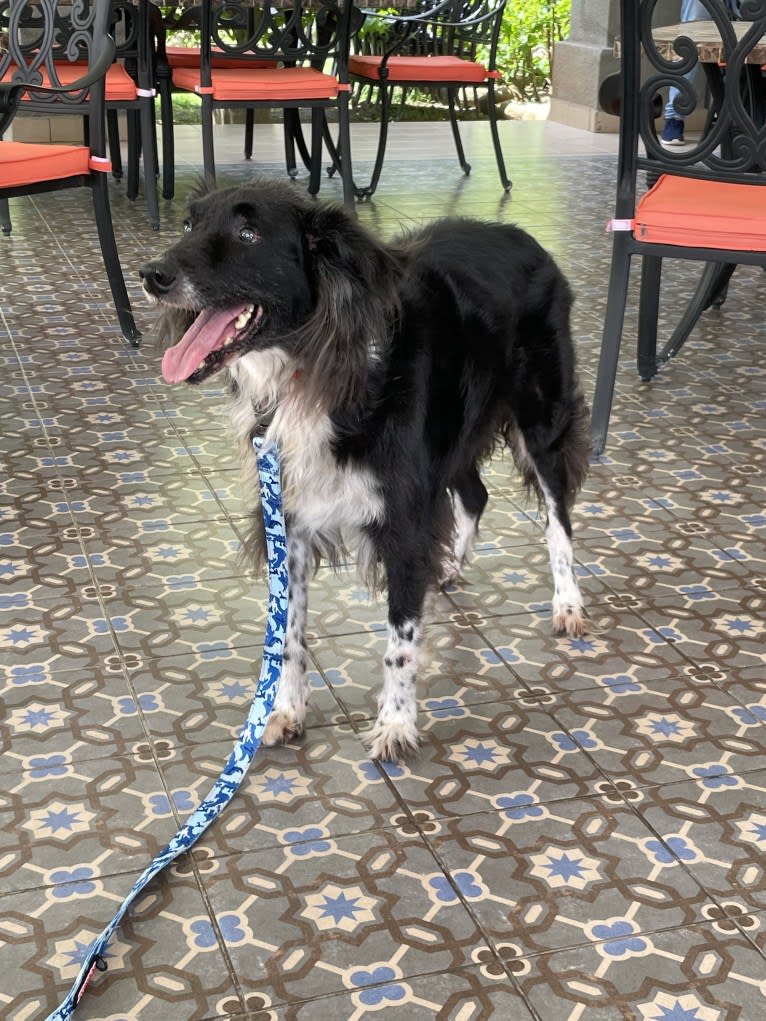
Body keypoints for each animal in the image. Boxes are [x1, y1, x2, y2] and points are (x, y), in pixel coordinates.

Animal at [140, 179, 592, 763]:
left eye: (248, 234)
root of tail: (526, 238)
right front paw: (286, 711)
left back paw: (568, 602)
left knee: (558, 519)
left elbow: (399, 643)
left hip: (541, 422)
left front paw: (396, 724)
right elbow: (288, 635)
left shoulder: (403, 519)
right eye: (189, 225)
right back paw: (449, 569)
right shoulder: (290, 520)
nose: (152, 275)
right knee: (476, 495)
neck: (311, 370)